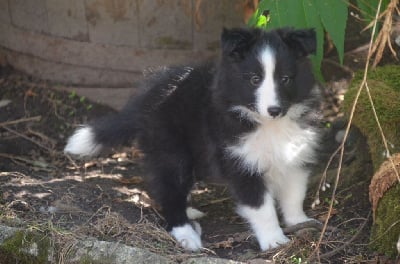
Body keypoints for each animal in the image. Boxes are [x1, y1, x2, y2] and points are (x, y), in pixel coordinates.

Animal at [65, 26, 322, 252]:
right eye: (254, 79)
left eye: (286, 79)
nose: (274, 110)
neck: (268, 125)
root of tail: (145, 100)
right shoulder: (241, 163)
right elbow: (262, 207)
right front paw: (274, 240)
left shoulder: (295, 156)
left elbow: (294, 194)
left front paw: (300, 222)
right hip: (170, 149)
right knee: (170, 189)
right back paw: (186, 233)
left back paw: (189, 212)